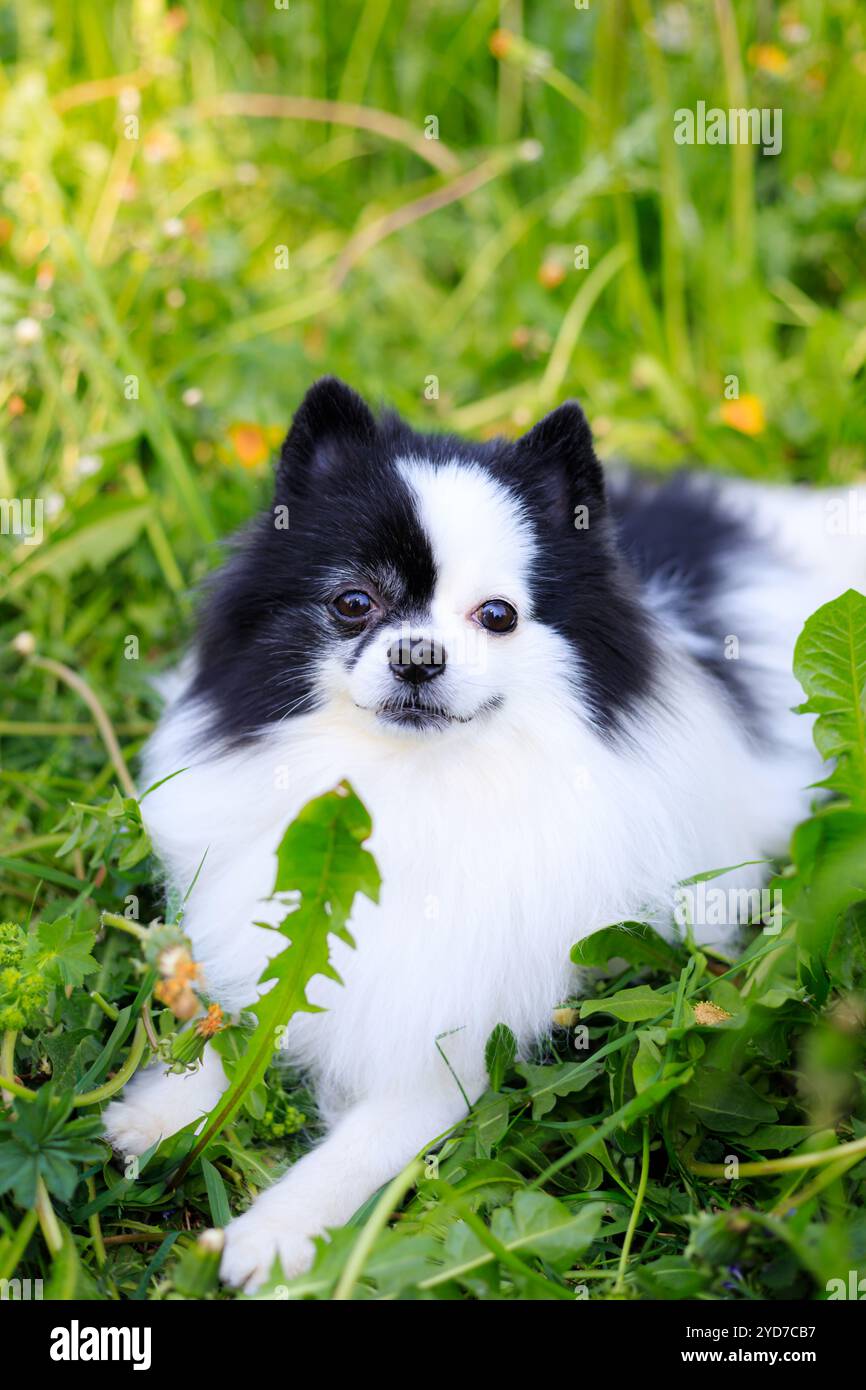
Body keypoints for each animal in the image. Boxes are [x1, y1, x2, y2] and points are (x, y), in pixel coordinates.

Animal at [104, 375, 861, 1284]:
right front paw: (169, 1106)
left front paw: (275, 1235)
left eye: (497, 616)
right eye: (353, 604)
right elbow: (235, 1020)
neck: (411, 786)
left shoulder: (454, 1044)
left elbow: (360, 1145)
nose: (417, 655)